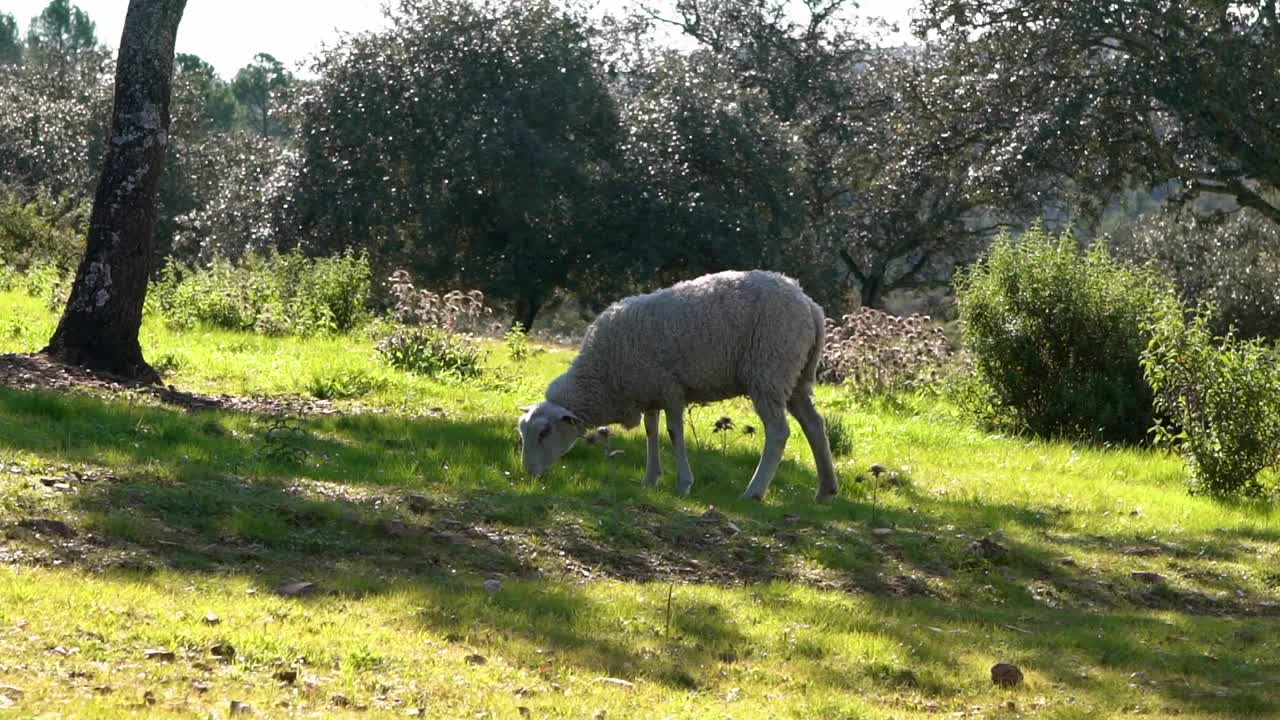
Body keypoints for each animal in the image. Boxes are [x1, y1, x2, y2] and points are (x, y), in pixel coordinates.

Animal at [517, 269, 839, 499]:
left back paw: (754, 491)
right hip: (795, 377)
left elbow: (673, 433)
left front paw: (683, 484)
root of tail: (809, 304)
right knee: (814, 424)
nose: (528, 474)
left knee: (778, 432)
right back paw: (826, 490)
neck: (603, 375)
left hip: (769, 370)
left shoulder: (670, 388)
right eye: (522, 432)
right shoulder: (649, 391)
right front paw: (650, 479)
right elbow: (651, 432)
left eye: (544, 432)